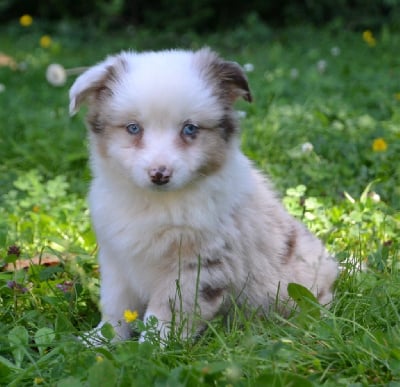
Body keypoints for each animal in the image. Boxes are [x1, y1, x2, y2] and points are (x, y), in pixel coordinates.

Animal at [69, 48, 338, 342]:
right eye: (133, 128)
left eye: (190, 129)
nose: (160, 174)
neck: (158, 203)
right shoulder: (116, 260)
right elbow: (116, 308)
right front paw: (96, 342)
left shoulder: (197, 267)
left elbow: (163, 317)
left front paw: (152, 347)